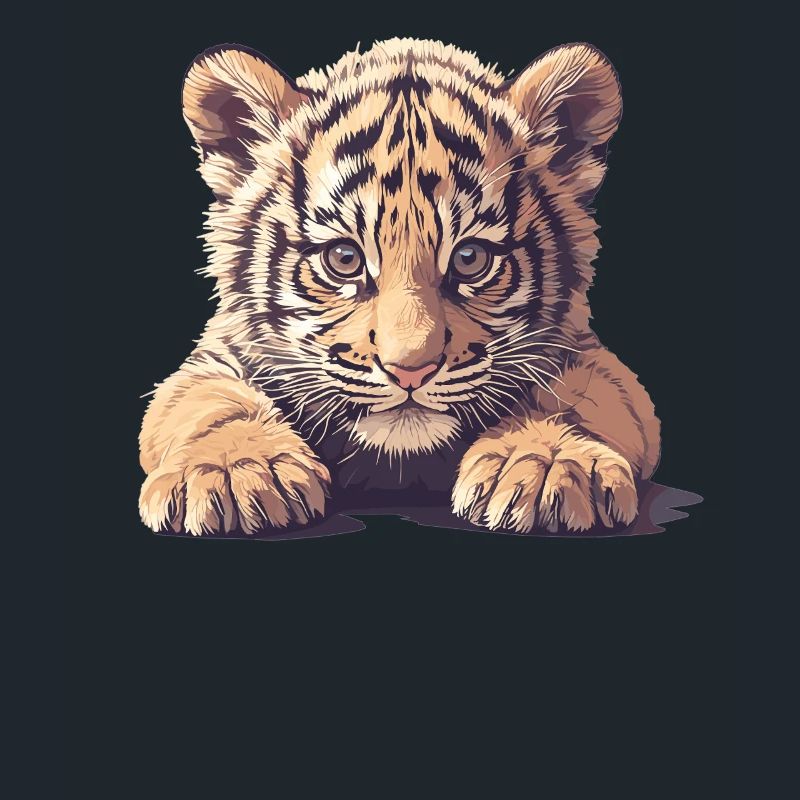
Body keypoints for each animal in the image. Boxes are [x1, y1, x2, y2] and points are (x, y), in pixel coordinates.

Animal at [138, 37, 660, 536]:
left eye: (470, 259)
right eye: (344, 259)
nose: (411, 371)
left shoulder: (586, 352)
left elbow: (574, 396)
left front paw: (548, 463)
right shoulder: (215, 356)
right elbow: (212, 402)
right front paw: (233, 469)